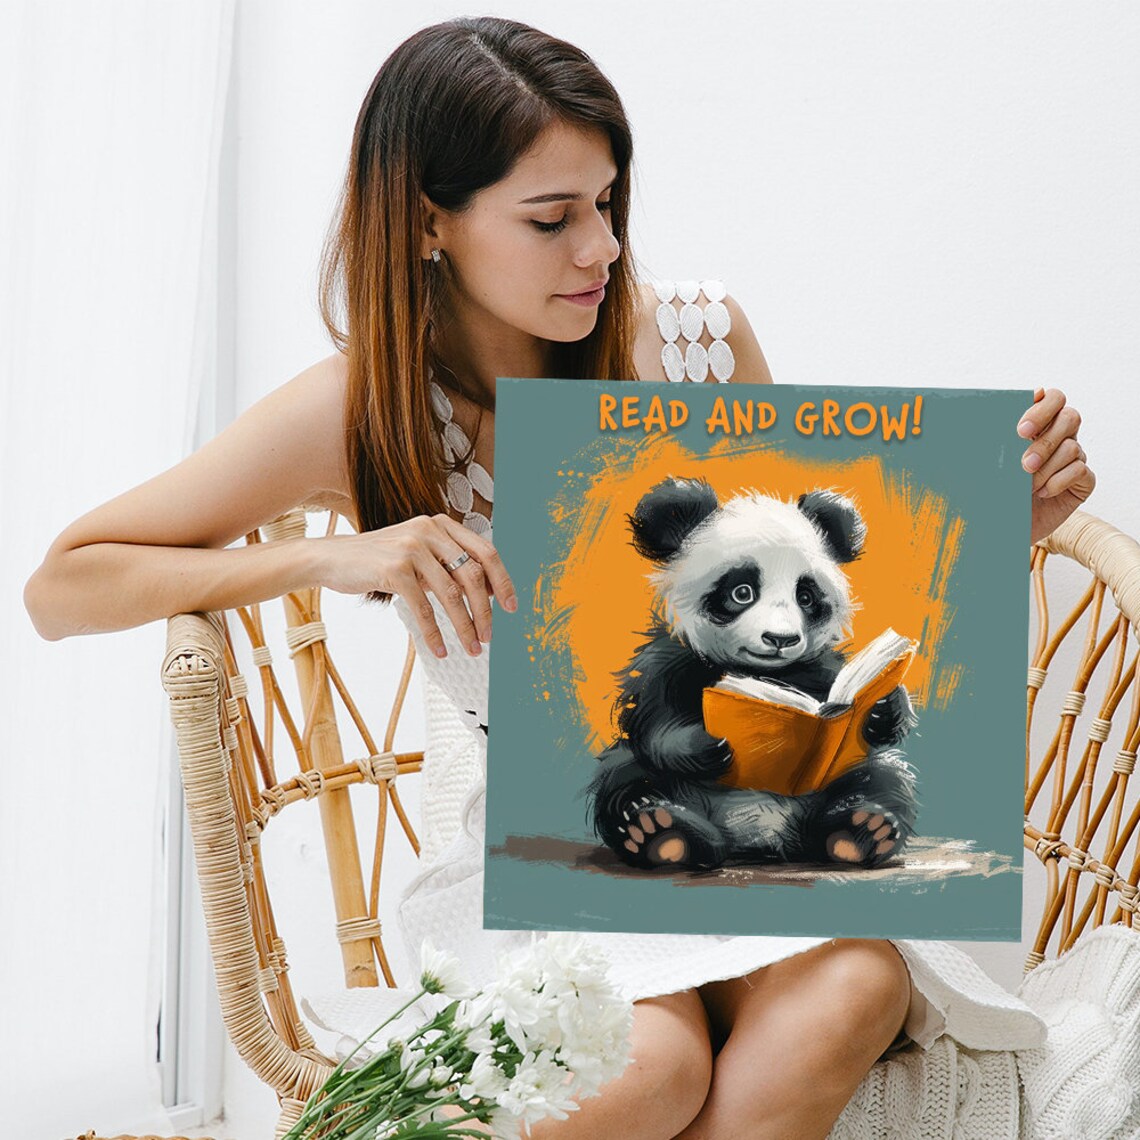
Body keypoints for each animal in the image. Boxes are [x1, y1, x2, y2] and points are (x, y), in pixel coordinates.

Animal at [584, 476, 918, 872]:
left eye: (806, 597)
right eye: (741, 592)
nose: (781, 639)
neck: (755, 672)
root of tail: (755, 840)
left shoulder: (815, 669)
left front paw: (883, 706)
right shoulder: (669, 660)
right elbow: (655, 726)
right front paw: (707, 744)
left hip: (837, 780)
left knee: (881, 777)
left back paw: (861, 829)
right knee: (625, 778)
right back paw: (662, 833)